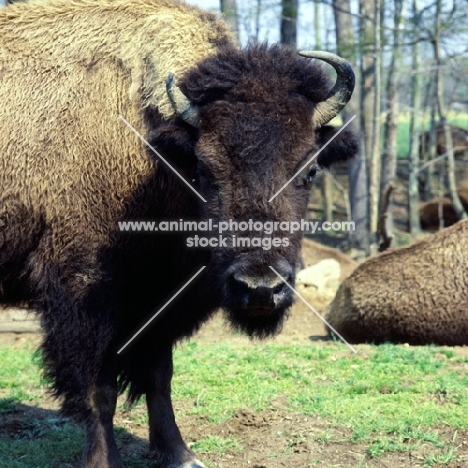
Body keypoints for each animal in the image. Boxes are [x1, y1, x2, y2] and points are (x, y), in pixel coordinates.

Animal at [0, 0, 358, 468]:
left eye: (311, 169)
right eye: (204, 169)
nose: (260, 288)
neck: (153, 157)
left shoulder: (162, 298)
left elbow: (159, 376)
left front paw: (179, 453)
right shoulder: (85, 296)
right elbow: (99, 389)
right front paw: (103, 461)